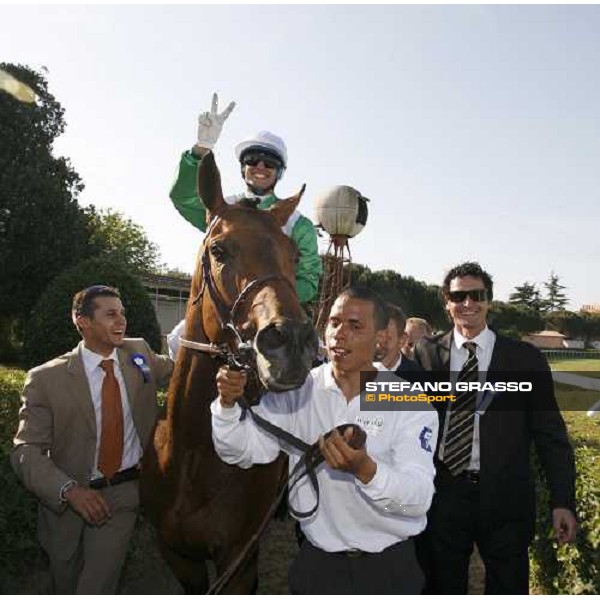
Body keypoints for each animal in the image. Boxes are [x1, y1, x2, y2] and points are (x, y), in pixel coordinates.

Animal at [140, 152, 318, 592]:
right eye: (218, 249)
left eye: (295, 255)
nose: (290, 342)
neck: (195, 457)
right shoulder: (177, 554)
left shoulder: (239, 558)